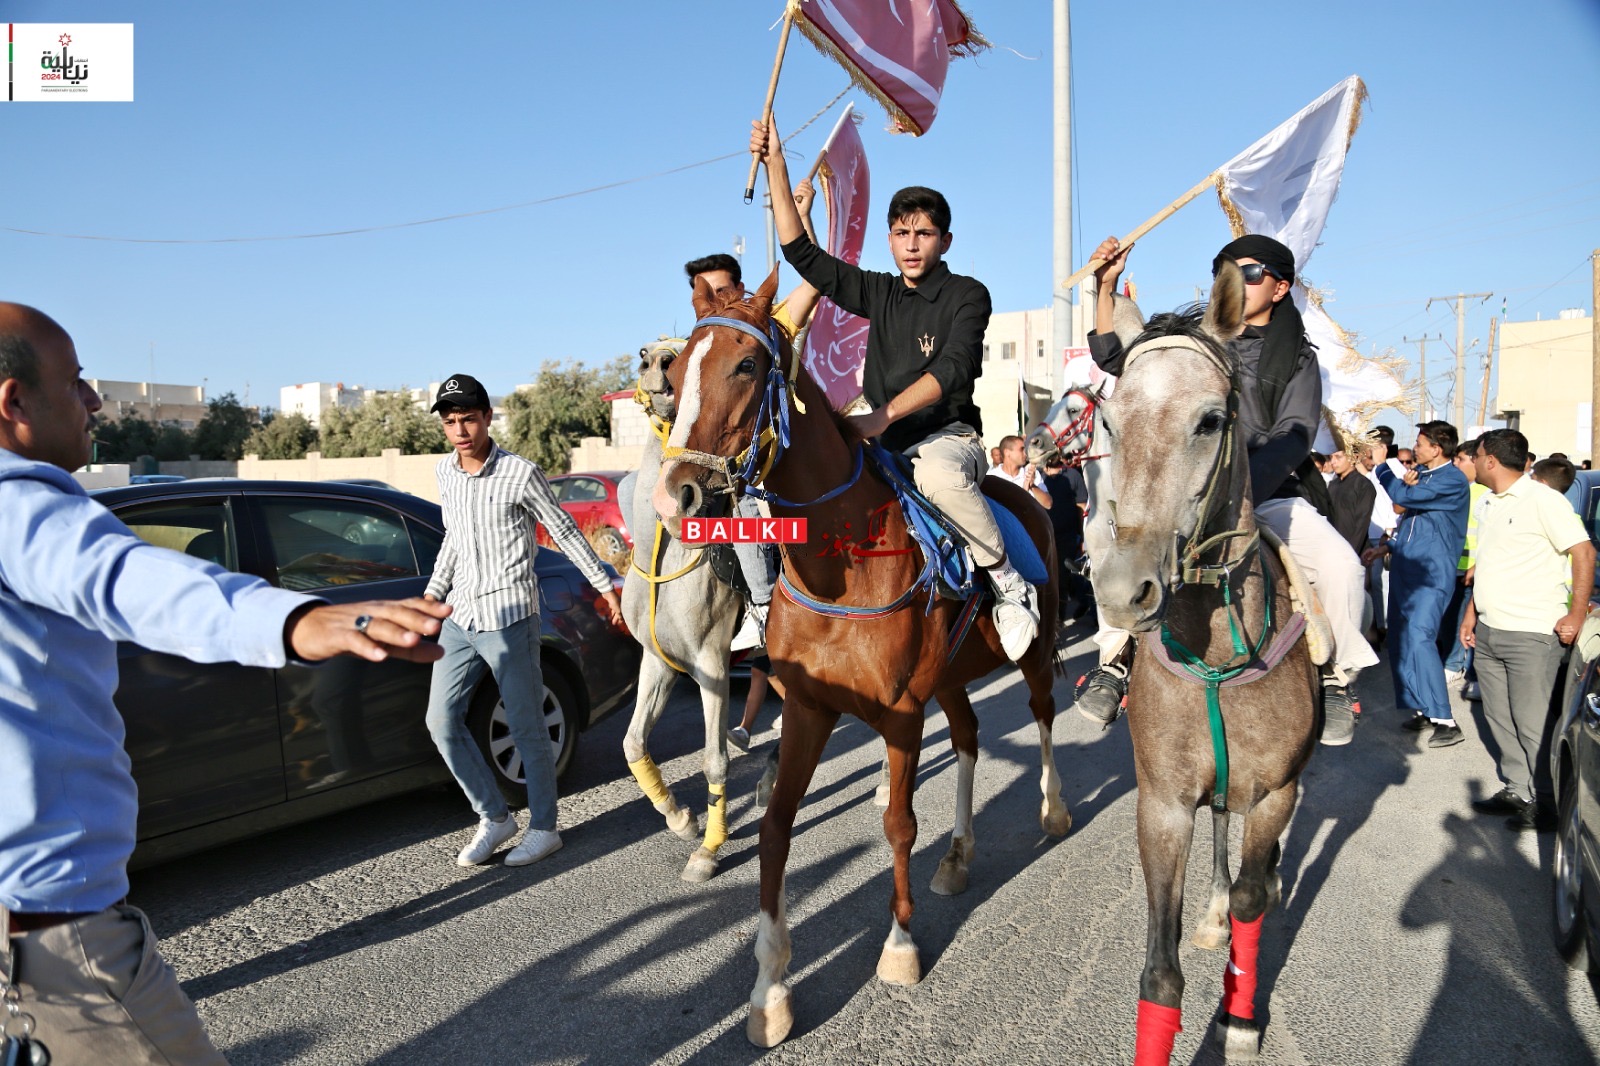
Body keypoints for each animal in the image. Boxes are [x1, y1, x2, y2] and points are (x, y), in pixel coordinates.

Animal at [653, 269, 1073, 1048]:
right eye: (674, 372)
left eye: (747, 365)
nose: (675, 496)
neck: (840, 568)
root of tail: (1024, 491)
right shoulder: (809, 709)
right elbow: (776, 830)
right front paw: (769, 990)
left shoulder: (902, 714)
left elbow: (899, 825)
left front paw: (901, 948)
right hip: (952, 680)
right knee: (969, 739)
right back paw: (959, 854)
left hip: (1032, 656)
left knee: (1041, 716)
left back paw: (1053, 809)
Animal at [1091, 261, 1318, 1064]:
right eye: (1109, 423)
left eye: (1210, 421)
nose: (1122, 590)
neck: (1219, 652)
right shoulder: (1161, 802)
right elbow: (1160, 972)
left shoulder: (1276, 789)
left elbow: (1253, 896)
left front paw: (1242, 1018)